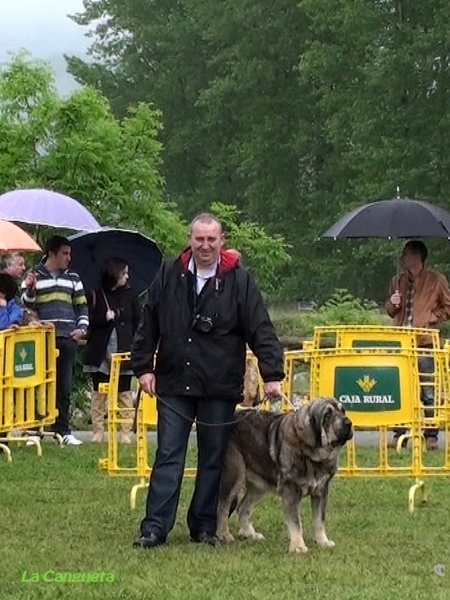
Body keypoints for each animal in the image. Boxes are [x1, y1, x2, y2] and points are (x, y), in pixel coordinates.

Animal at [216, 396, 354, 556]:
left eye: (343, 411)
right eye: (327, 415)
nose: (348, 423)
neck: (311, 454)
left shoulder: (321, 491)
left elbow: (320, 520)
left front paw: (323, 542)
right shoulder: (291, 491)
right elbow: (296, 522)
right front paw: (298, 546)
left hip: (259, 485)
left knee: (243, 508)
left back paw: (250, 534)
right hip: (235, 476)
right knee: (223, 506)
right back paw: (224, 535)